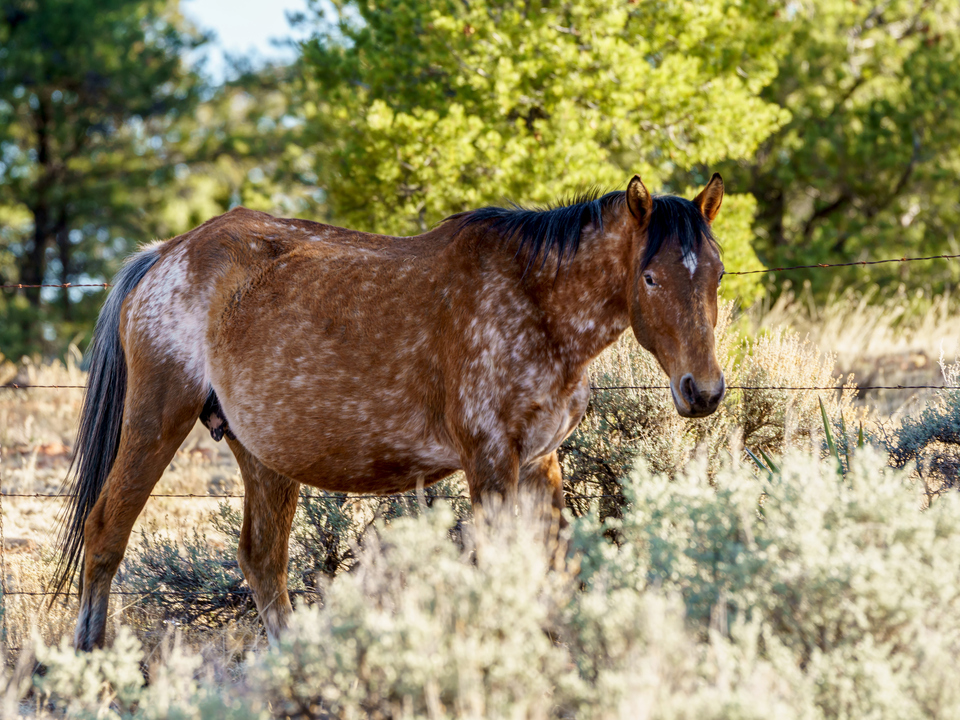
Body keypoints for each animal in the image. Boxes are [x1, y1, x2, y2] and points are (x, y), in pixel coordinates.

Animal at [54, 173, 727, 650]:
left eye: (716, 274)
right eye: (650, 277)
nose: (703, 391)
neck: (536, 303)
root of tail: (165, 254)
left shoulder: (540, 461)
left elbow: (552, 568)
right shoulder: (490, 461)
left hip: (264, 456)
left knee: (263, 562)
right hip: (155, 421)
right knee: (105, 530)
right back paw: (90, 661)